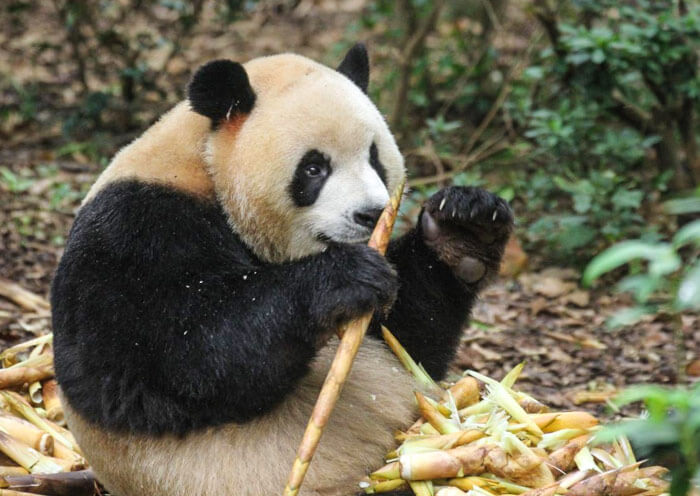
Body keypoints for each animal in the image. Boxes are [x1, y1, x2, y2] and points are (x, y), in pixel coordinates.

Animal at [50, 44, 513, 496]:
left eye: (375, 157)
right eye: (314, 168)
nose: (371, 213)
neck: (205, 167)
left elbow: (410, 341)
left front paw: (463, 229)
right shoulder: (134, 230)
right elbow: (166, 362)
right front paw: (342, 280)